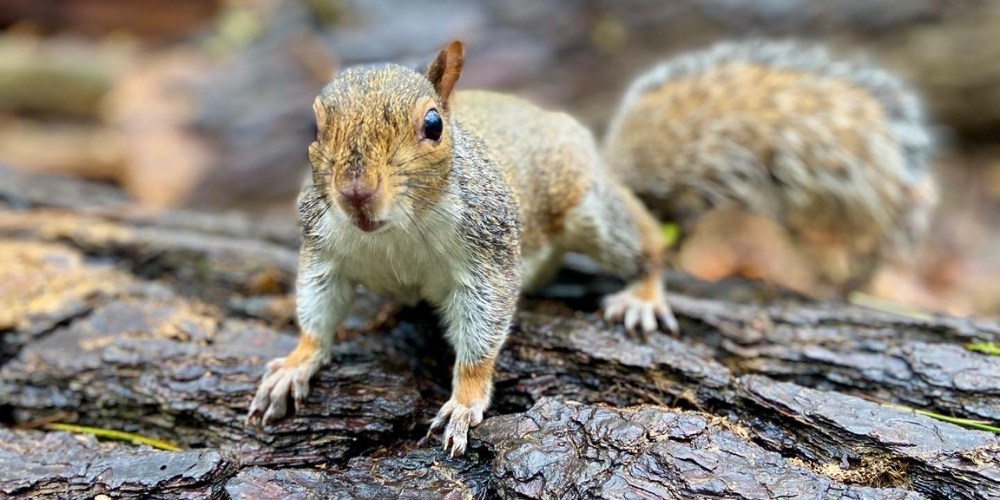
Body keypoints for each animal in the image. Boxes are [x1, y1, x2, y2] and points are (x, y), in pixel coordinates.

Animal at [245, 41, 677, 457]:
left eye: (433, 125)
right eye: (315, 128)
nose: (355, 193)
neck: (393, 233)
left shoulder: (490, 256)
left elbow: (481, 332)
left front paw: (464, 403)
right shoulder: (322, 251)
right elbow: (316, 313)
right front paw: (296, 364)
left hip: (591, 213)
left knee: (647, 243)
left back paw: (642, 297)